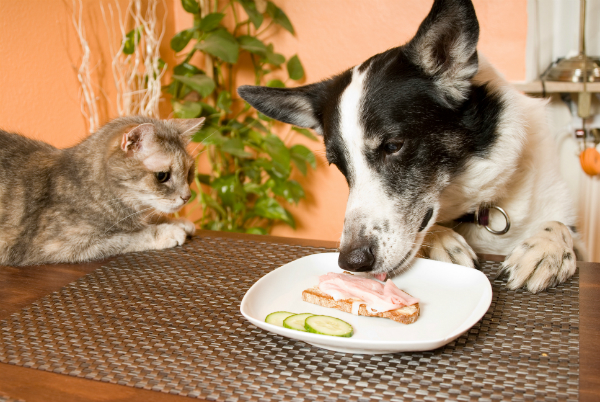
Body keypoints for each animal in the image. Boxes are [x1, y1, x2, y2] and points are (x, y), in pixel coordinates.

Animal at [0, 114, 204, 266]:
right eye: (162, 176)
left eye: (189, 172)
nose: (187, 196)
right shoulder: (60, 244)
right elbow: (128, 236)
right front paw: (168, 231)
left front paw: (177, 222)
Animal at [237, 0, 584, 292]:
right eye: (339, 165)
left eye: (393, 145)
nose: (352, 262)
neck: (474, 204)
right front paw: (443, 241)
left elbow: (559, 225)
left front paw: (546, 248)